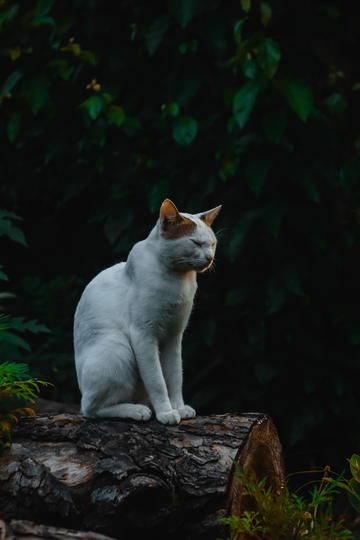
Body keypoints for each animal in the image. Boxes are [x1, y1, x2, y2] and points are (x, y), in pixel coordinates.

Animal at [73, 199, 221, 426]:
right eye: (195, 243)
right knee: (90, 409)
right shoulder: (143, 335)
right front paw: (166, 412)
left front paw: (178, 408)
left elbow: (175, 377)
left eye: (212, 244)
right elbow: (157, 381)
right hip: (117, 349)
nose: (210, 258)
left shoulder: (174, 337)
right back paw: (137, 411)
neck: (177, 281)